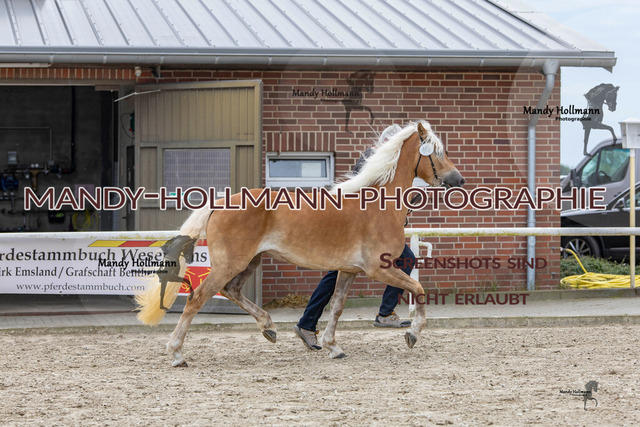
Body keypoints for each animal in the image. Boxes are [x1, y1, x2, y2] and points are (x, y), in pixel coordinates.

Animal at [135, 120, 465, 366]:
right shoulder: (378, 269)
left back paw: (269, 328)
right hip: (231, 263)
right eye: (437, 152)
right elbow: (418, 289)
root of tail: (220, 203)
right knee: (197, 298)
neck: (376, 204)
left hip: (249, 261)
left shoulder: (348, 270)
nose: (458, 180)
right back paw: (177, 354)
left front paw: (332, 346)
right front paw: (414, 334)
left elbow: (337, 307)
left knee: (232, 291)